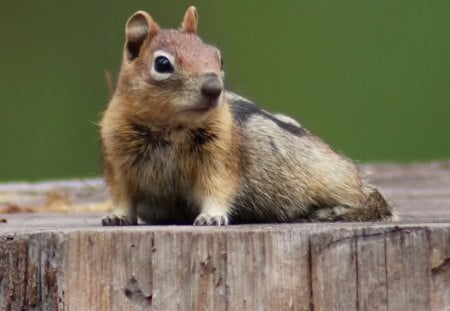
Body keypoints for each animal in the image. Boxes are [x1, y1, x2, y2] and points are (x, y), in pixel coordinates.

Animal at [100, 6, 392, 225]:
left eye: (217, 58)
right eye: (162, 63)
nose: (214, 87)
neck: (169, 127)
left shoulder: (220, 156)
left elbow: (217, 188)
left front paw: (211, 217)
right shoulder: (117, 162)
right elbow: (123, 196)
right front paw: (116, 217)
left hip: (333, 179)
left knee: (371, 200)